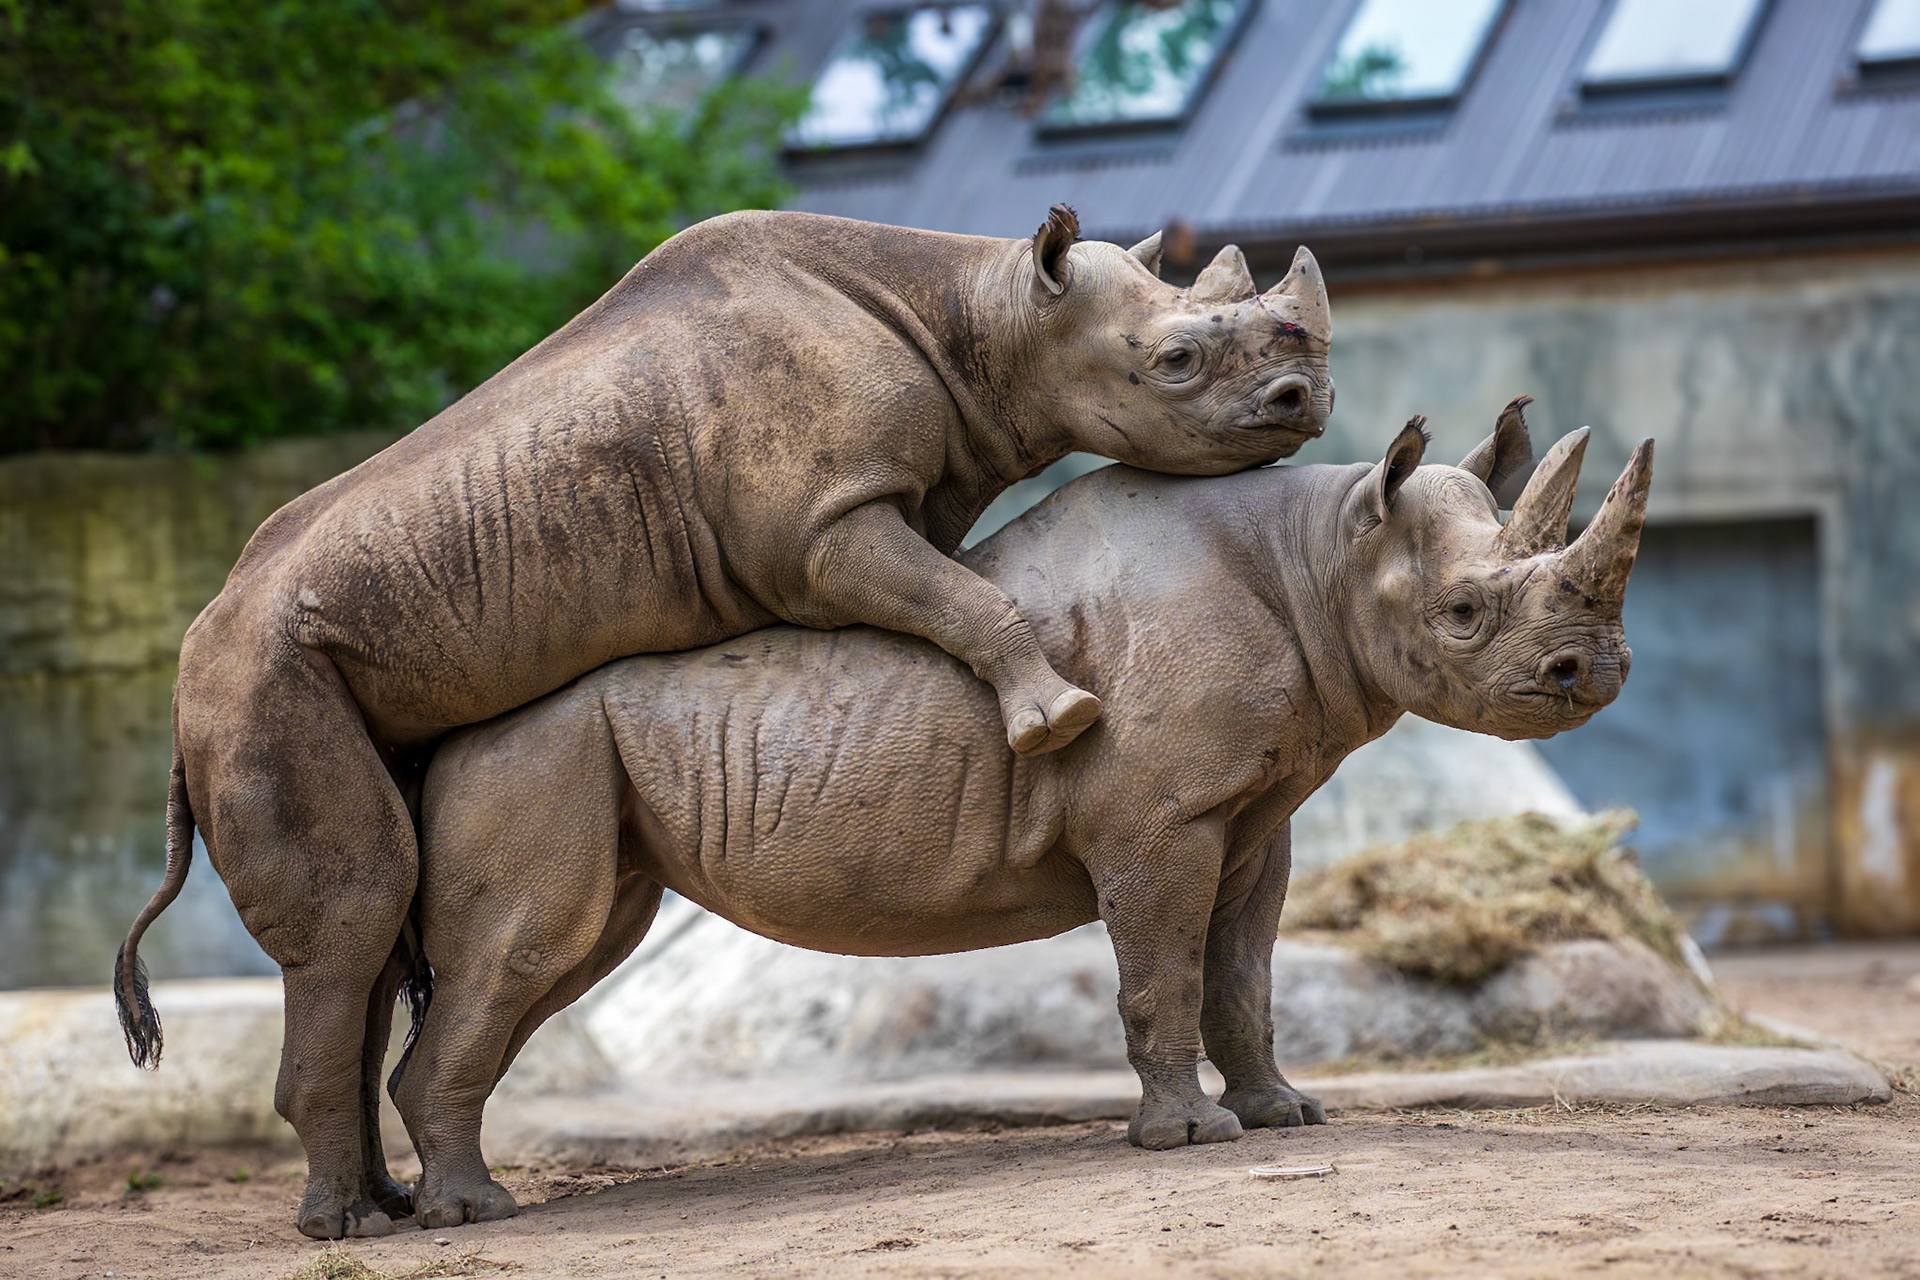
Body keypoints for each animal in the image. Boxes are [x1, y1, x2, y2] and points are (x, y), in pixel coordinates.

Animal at [374, 400, 1652, 1230]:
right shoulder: (1161, 817)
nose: (1596, 675)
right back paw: (474, 1214)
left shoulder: (1258, 814)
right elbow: (1163, 970)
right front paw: (1190, 1142)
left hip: (554, 755)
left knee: (566, 958)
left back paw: (436, 1198)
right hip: (533, 750)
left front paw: (1286, 1115)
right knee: (530, 951)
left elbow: (1243, 972)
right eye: (1464, 612)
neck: (1325, 550)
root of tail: (434, 736)